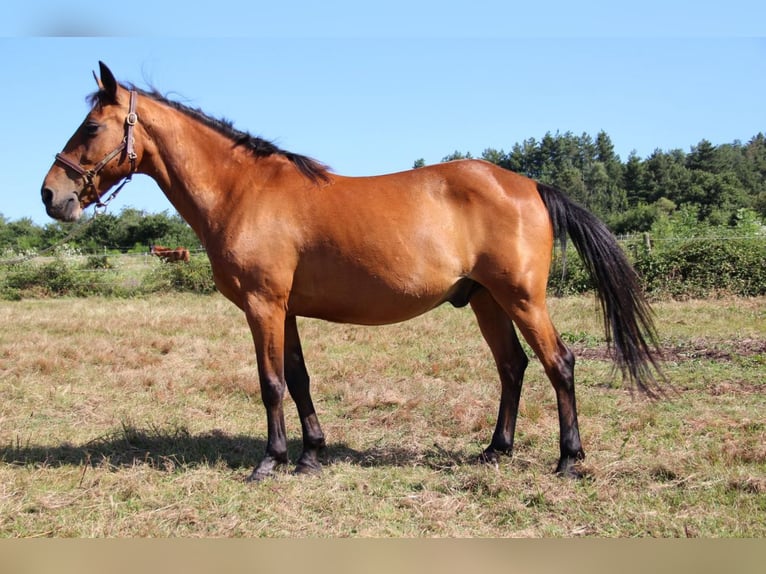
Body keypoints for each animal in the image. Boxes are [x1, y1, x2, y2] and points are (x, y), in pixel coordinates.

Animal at [41, 62, 663, 481]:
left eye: (91, 127)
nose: (51, 195)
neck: (243, 190)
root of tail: (529, 184)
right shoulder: (284, 310)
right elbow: (297, 379)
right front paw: (311, 455)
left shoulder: (263, 306)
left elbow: (270, 384)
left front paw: (270, 462)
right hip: (487, 299)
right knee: (512, 367)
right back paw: (495, 450)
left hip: (522, 298)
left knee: (559, 363)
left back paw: (569, 460)